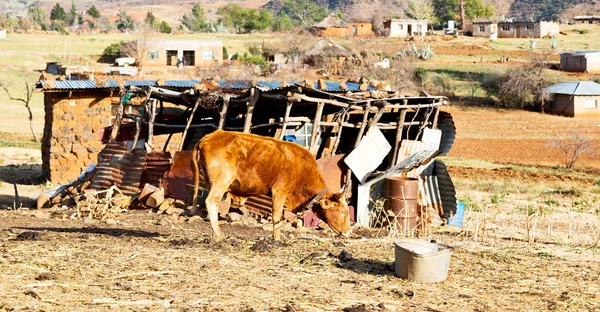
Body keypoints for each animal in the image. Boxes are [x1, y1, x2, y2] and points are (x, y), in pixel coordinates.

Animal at [192, 130, 352, 240]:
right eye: (343, 212)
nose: (349, 232)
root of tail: (210, 137)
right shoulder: (279, 191)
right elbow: (276, 217)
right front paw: (277, 239)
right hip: (222, 181)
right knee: (211, 201)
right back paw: (219, 234)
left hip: (210, 181)